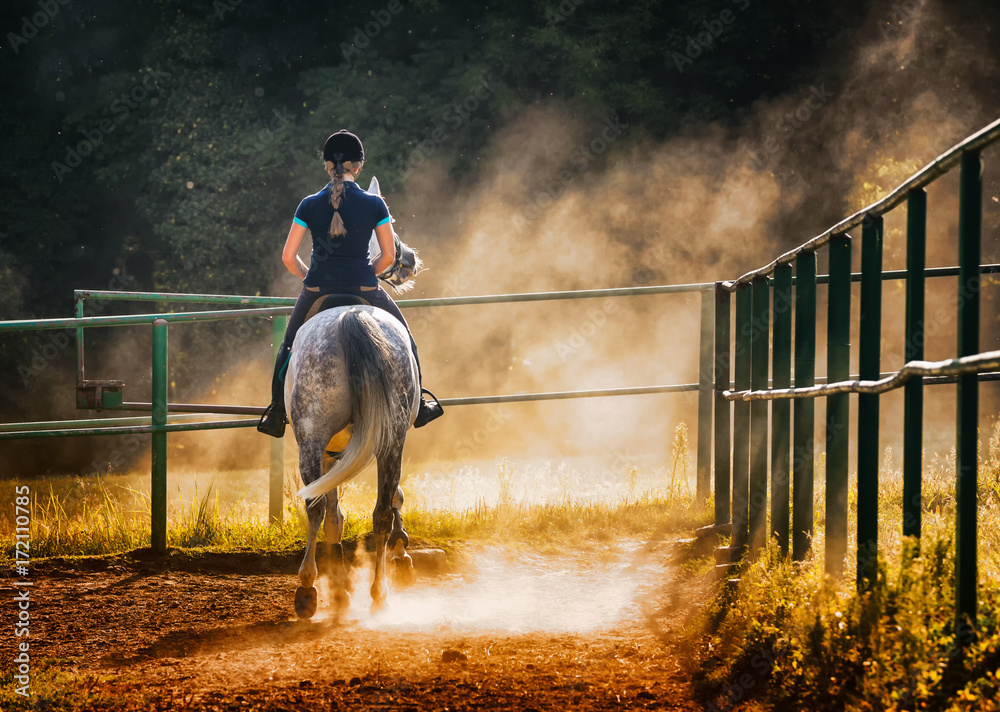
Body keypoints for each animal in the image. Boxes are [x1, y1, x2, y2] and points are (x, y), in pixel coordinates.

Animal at [286, 306, 418, 616]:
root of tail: (351, 315)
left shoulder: (328, 455)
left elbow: (333, 515)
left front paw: (339, 583)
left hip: (312, 438)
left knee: (315, 507)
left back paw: (308, 585)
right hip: (390, 440)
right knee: (380, 512)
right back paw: (379, 593)